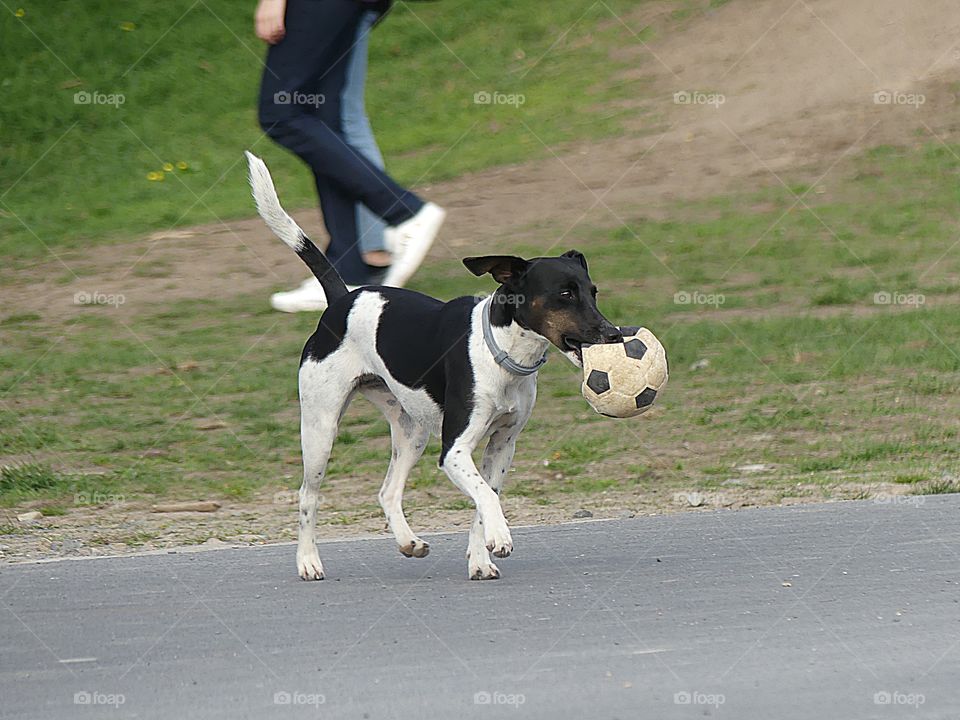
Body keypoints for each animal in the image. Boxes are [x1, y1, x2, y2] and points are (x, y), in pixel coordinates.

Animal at [248, 152, 624, 580]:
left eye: (593, 292)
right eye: (564, 294)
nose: (613, 334)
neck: (500, 353)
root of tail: (341, 301)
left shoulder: (502, 445)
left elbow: (482, 501)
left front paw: (480, 560)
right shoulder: (455, 450)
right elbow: (485, 497)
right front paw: (500, 537)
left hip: (412, 431)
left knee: (388, 491)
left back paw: (408, 542)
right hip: (321, 429)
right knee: (307, 496)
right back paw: (308, 561)